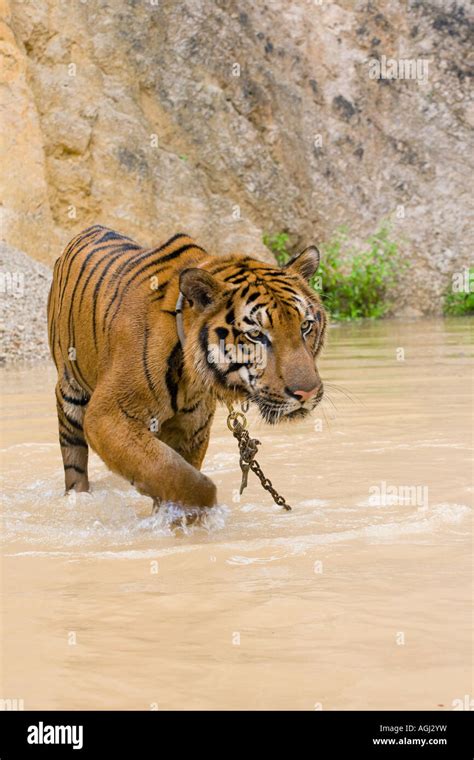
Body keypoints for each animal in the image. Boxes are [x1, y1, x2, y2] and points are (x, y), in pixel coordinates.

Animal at [47, 226, 326, 510]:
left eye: (305, 326)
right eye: (256, 334)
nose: (307, 394)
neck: (191, 377)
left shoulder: (192, 429)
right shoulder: (108, 415)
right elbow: (179, 477)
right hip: (70, 394)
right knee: (74, 463)